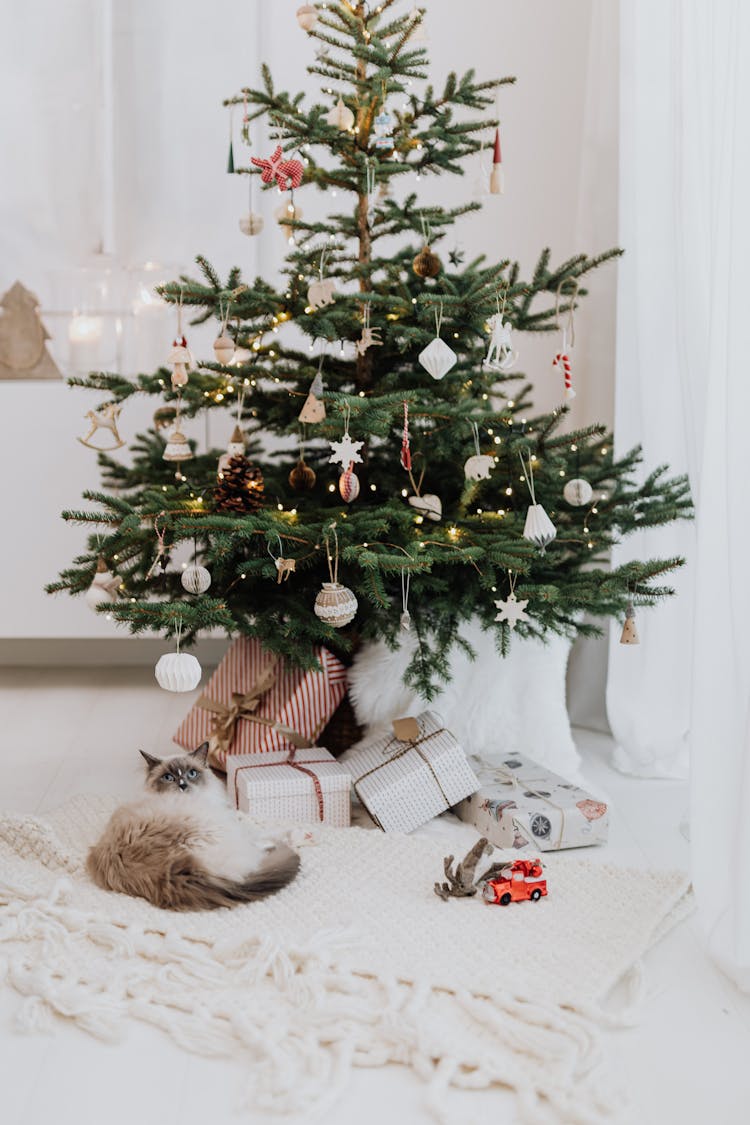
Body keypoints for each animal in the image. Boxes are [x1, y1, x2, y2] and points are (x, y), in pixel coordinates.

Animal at [87, 742, 299, 909]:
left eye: (192, 773)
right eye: (169, 777)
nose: (182, 785)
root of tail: (169, 873)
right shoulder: (230, 822)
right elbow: (257, 832)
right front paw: (290, 834)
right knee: (256, 855)